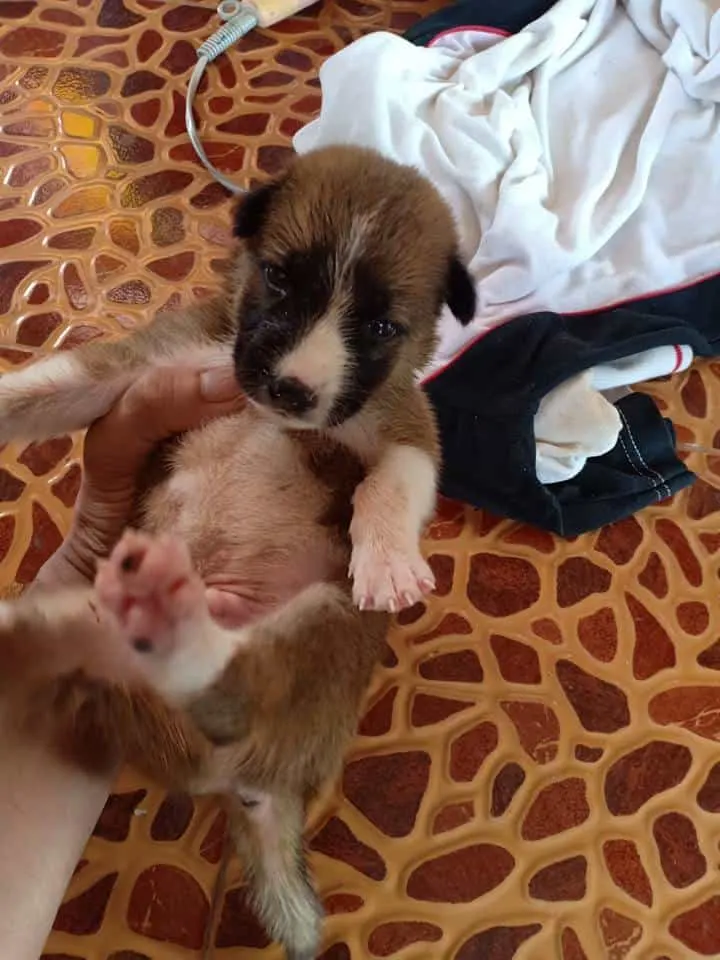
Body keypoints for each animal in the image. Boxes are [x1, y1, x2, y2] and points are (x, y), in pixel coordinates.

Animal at [0, 141, 476, 952]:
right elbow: (48, 386)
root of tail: (272, 788)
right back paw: (48, 629)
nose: (292, 390)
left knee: (229, 690)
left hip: (321, 625)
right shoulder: (151, 363)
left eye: (383, 328)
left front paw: (386, 559)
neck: (261, 411)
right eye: (280, 277)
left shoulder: (402, 422)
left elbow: (393, 482)